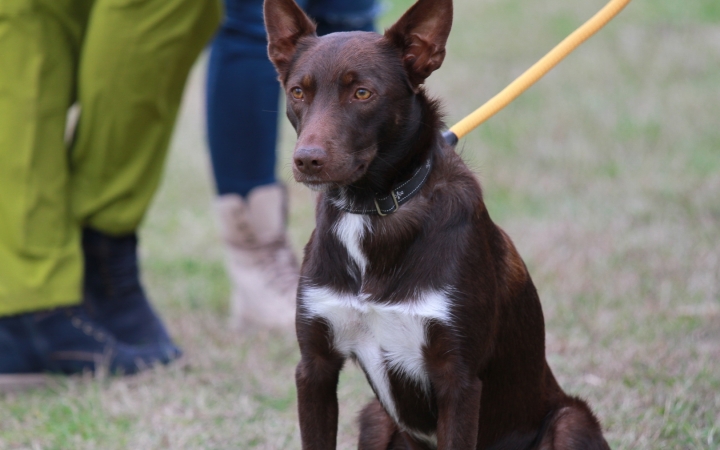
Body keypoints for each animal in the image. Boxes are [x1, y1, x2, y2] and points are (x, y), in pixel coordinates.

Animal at [262, 0, 612, 446]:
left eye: (362, 93)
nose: (306, 160)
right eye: (297, 92)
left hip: (570, 420)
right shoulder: (315, 367)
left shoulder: (457, 380)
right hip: (375, 418)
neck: (375, 209)